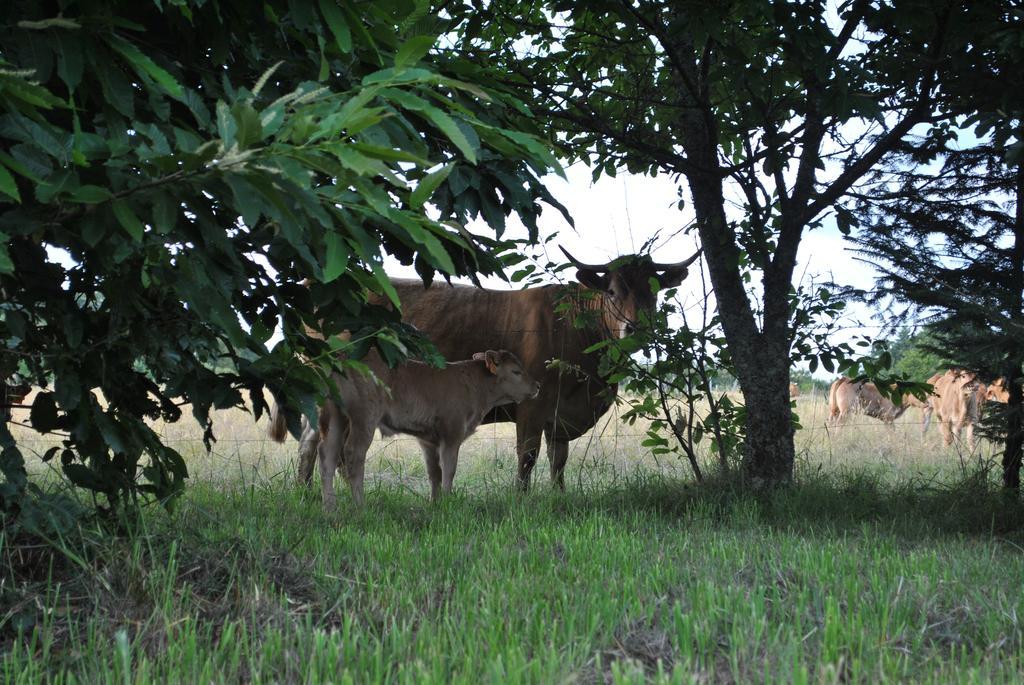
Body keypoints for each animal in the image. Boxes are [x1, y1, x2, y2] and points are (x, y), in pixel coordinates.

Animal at [272, 352, 544, 507]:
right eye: (516, 371)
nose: (537, 386)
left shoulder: (429, 439)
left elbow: (434, 472)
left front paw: (435, 504)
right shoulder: (452, 432)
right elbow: (449, 469)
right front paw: (448, 502)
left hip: (335, 416)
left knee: (326, 453)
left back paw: (330, 506)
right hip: (364, 416)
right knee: (352, 454)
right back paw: (359, 505)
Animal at [292, 248, 700, 489]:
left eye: (654, 290)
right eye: (612, 291)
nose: (635, 328)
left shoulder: (560, 416)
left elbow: (558, 462)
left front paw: (558, 497)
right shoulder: (532, 405)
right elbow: (527, 457)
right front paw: (521, 501)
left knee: (311, 443)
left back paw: (306, 495)